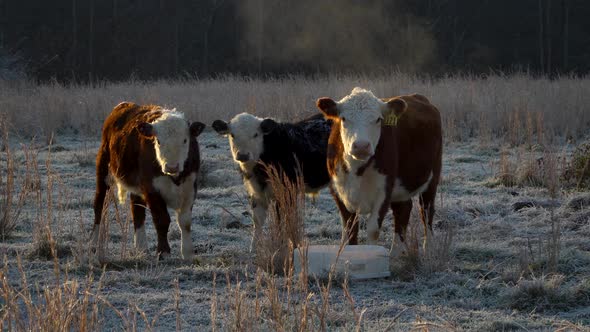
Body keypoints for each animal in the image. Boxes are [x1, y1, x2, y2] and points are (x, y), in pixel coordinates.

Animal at [91, 101, 206, 260]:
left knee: (137, 209)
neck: (174, 178)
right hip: (104, 172)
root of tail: (123, 105)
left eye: (185, 140)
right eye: (158, 141)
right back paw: (94, 244)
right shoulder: (152, 189)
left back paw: (141, 247)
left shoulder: (190, 187)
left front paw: (188, 253)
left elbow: (185, 222)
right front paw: (163, 252)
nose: (172, 166)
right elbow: (162, 219)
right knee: (100, 206)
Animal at [316, 87, 442, 255]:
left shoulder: (384, 192)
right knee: (403, 209)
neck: (356, 170)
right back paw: (398, 252)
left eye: (378, 119)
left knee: (426, 210)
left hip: (432, 177)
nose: (361, 146)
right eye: (343, 118)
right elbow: (349, 231)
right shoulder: (337, 192)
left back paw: (428, 248)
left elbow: (373, 230)